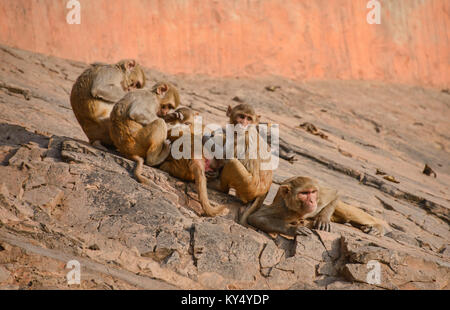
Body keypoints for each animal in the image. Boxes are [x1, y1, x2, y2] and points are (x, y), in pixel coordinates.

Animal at [244, 176, 388, 236]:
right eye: (304, 193)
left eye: (313, 192)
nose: (312, 201)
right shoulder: (282, 208)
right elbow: (256, 218)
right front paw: (294, 229)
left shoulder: (321, 197)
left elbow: (334, 194)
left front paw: (323, 219)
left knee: (346, 212)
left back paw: (377, 226)